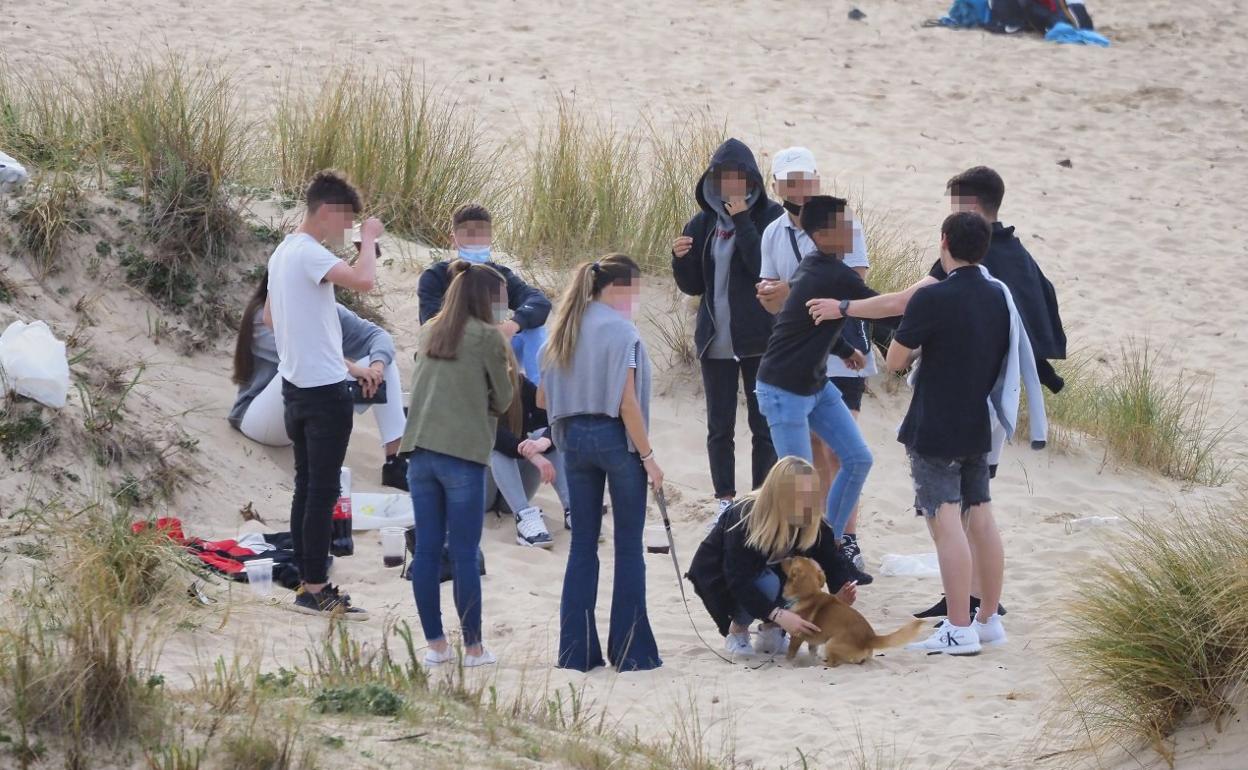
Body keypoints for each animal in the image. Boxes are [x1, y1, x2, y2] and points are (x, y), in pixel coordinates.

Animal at [778, 556, 928, 663]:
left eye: (792, 559)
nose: (781, 558)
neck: (809, 594)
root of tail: (869, 638)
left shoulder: (796, 636)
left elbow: (790, 653)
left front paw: (788, 663)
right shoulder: (813, 641)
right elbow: (812, 652)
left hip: (830, 643)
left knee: (834, 663)